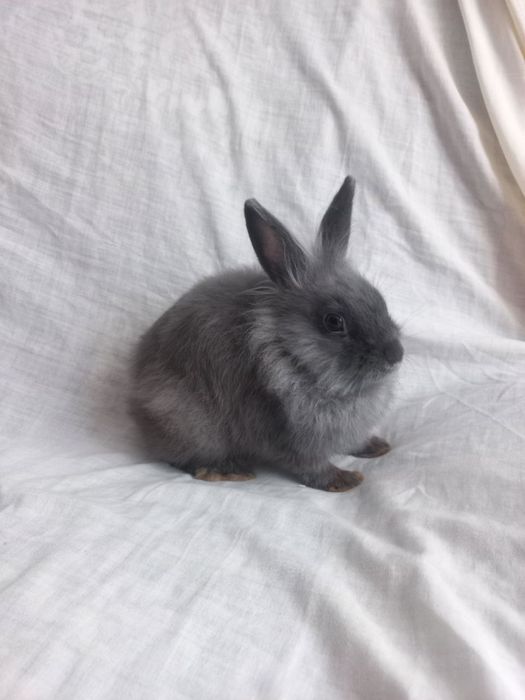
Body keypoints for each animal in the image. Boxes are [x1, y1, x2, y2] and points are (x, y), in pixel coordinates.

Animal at [130, 176, 403, 492]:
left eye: (379, 299)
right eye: (334, 321)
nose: (396, 355)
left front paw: (376, 446)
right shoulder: (290, 436)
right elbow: (311, 466)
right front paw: (343, 480)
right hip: (185, 420)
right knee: (181, 458)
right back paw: (228, 471)